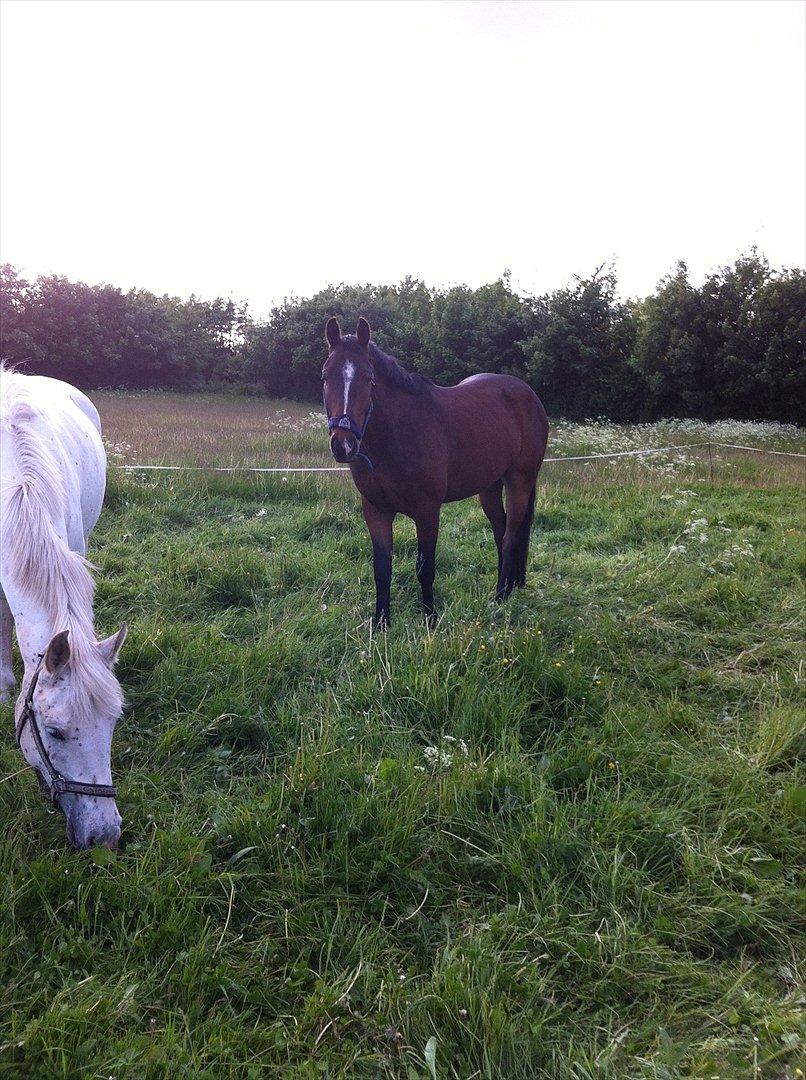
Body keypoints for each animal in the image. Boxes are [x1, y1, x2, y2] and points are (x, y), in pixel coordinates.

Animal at [319, 315, 546, 630]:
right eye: (326, 376)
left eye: (368, 378)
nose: (343, 444)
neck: (398, 435)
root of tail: (529, 395)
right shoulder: (375, 510)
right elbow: (382, 568)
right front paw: (381, 623)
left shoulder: (427, 511)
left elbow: (425, 568)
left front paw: (430, 618)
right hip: (488, 487)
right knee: (500, 531)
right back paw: (507, 588)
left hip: (519, 482)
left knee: (511, 535)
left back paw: (501, 596)